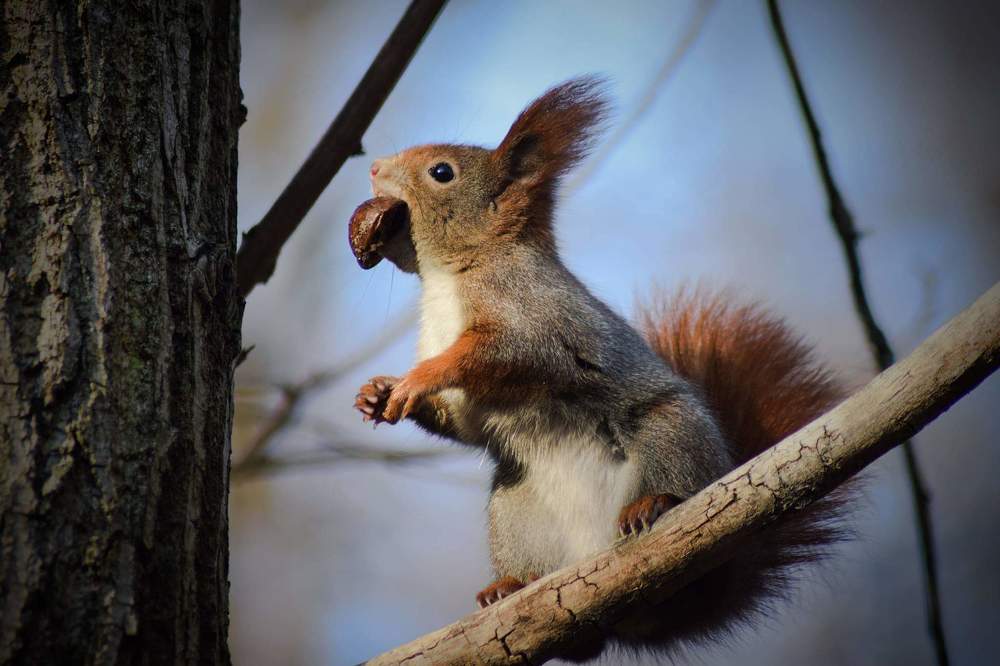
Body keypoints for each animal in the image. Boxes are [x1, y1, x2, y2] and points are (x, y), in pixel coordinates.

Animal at [351, 77, 852, 660]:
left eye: (441, 173)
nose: (374, 166)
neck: (449, 277)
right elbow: (462, 424)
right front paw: (377, 392)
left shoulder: (533, 315)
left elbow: (505, 352)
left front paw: (419, 378)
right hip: (514, 502)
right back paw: (510, 587)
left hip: (671, 434)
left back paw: (655, 505)